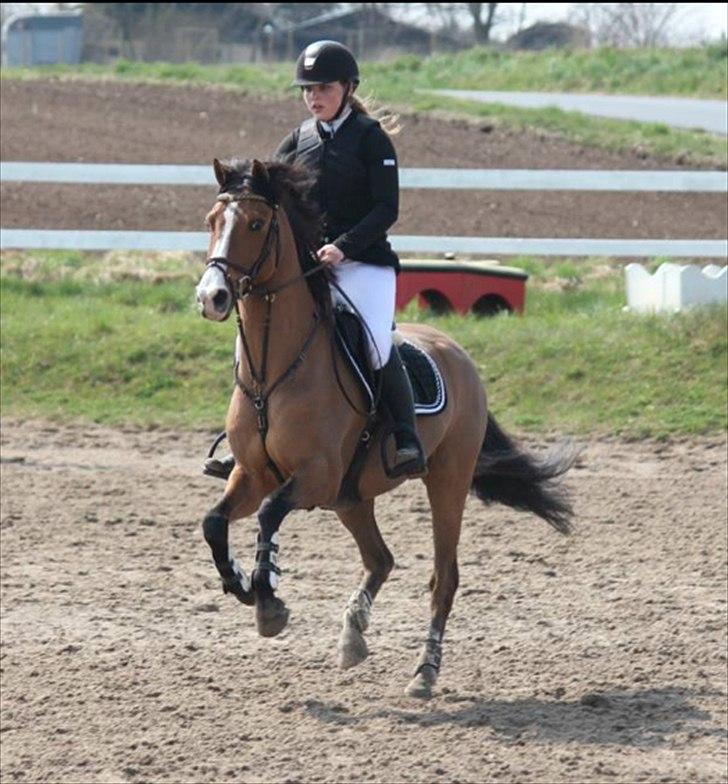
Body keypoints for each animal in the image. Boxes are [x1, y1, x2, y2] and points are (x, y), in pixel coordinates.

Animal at [195, 157, 576, 699]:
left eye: (255, 224)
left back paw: (424, 672)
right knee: (381, 559)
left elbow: (269, 514)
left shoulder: (315, 477)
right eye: (211, 220)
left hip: (444, 483)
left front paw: (268, 598)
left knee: (443, 578)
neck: (275, 370)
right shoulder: (252, 474)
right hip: (351, 497)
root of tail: (457, 352)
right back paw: (353, 635)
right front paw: (242, 585)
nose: (213, 296)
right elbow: (214, 522)